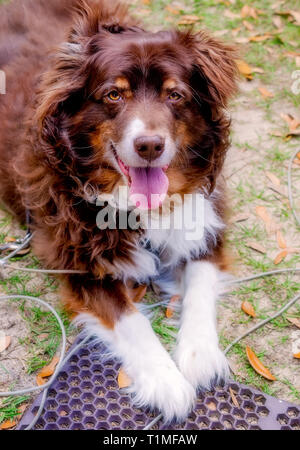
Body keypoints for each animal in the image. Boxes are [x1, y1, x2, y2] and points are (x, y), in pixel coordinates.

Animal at [0, 0, 238, 422]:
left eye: (175, 95)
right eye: (113, 95)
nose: (149, 145)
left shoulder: (207, 221)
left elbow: (200, 283)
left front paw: (199, 356)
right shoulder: (81, 265)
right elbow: (132, 321)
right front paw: (167, 383)